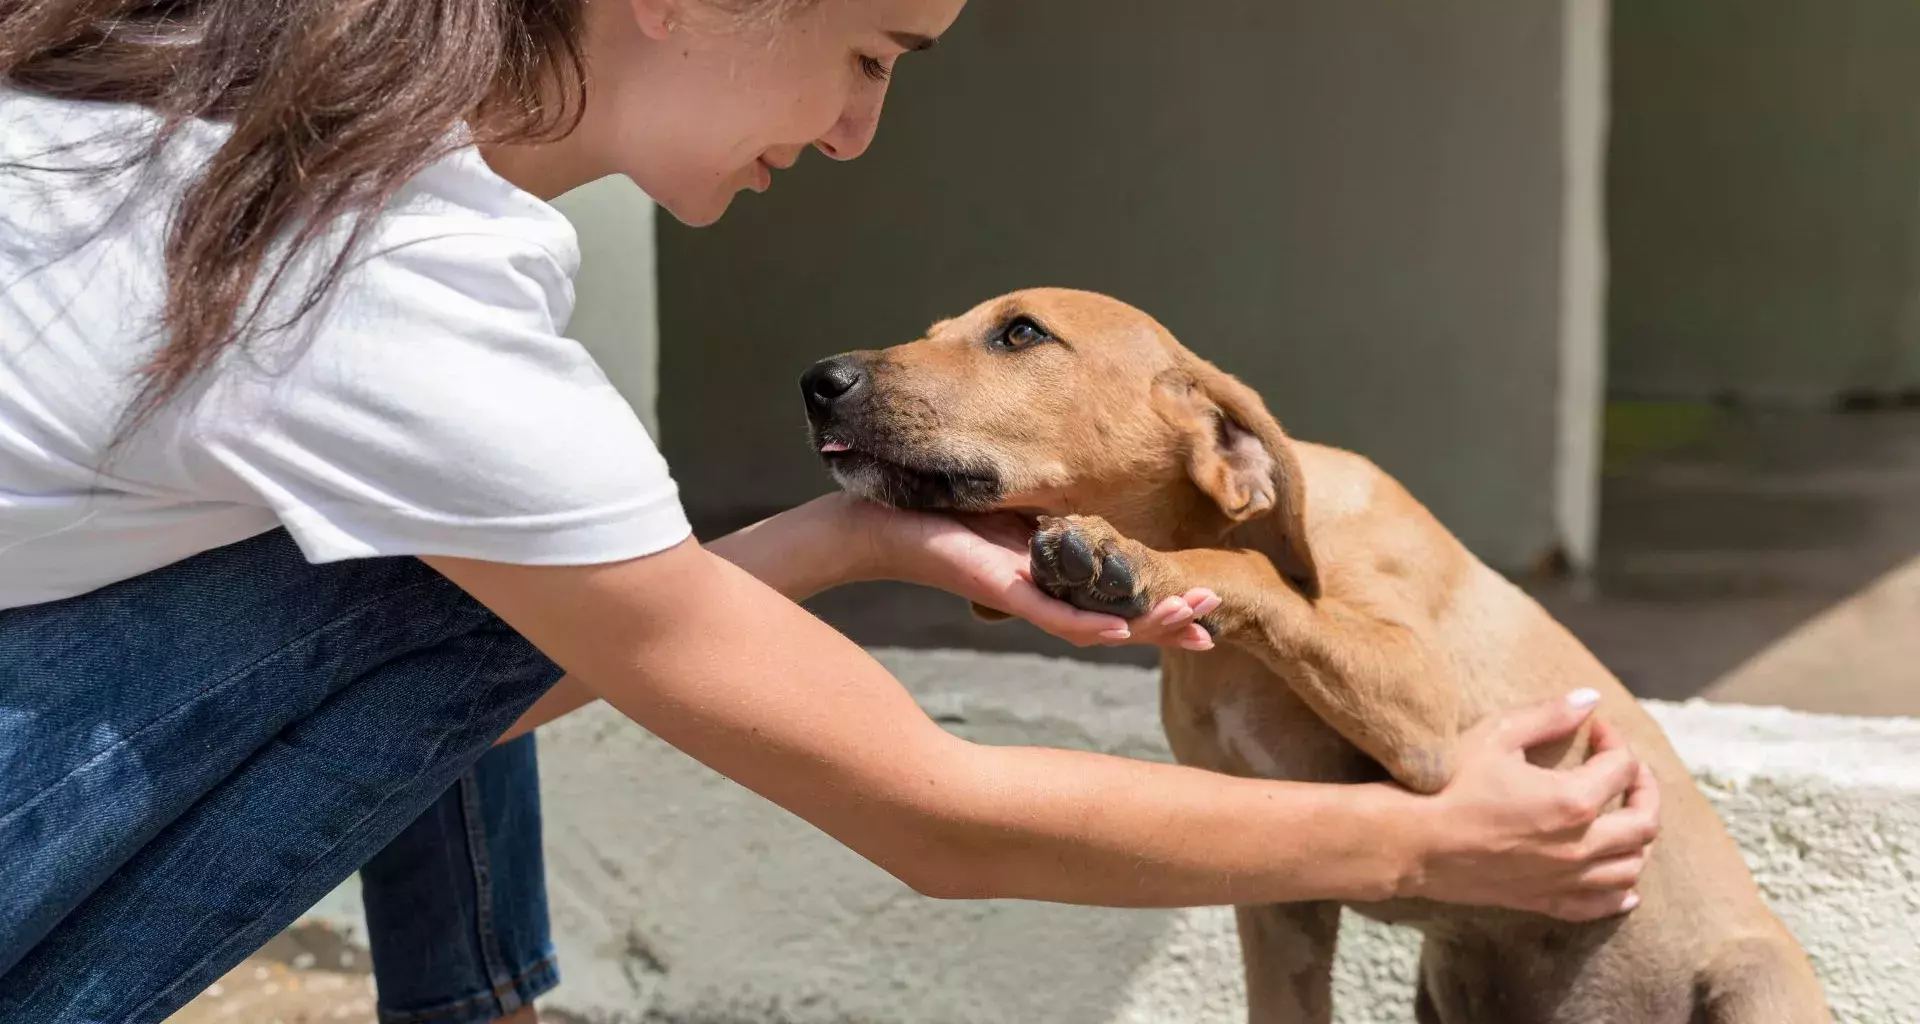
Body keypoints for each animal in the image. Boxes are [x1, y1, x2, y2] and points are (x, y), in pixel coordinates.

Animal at [794, 288, 1827, 1022]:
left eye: (1019, 334)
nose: (817, 380)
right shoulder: (1279, 888)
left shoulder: (1425, 716)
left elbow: (1251, 571)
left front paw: (1131, 563)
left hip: (1754, 984)